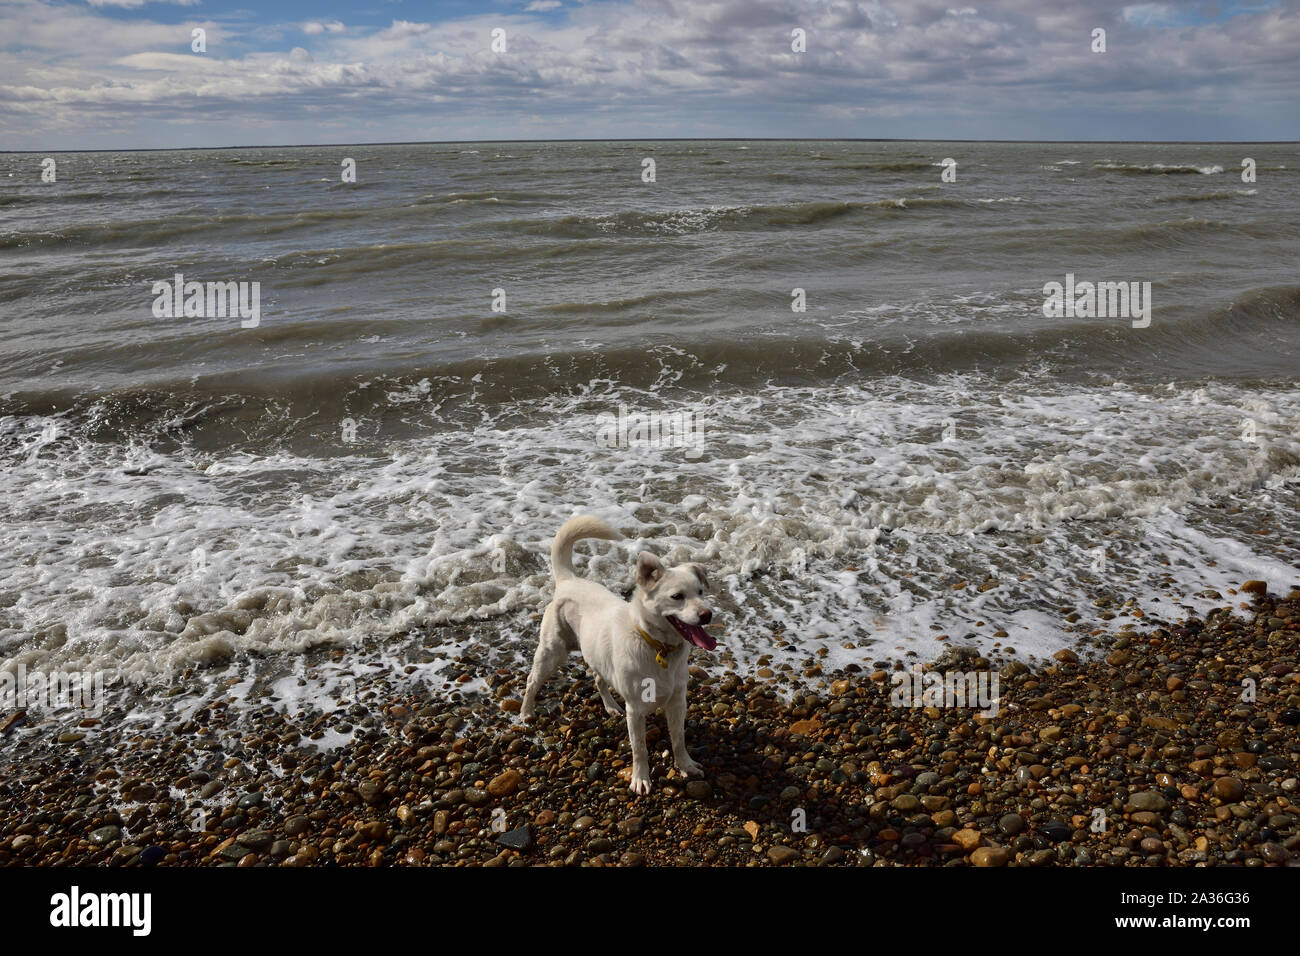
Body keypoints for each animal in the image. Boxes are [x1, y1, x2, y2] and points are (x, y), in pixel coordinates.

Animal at [520, 515, 722, 790]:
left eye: (701, 592)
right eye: (677, 596)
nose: (707, 614)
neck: (657, 646)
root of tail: (569, 580)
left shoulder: (677, 702)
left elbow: (679, 740)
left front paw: (685, 766)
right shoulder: (635, 709)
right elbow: (639, 749)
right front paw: (641, 779)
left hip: (596, 654)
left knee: (597, 678)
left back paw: (611, 706)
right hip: (552, 652)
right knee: (532, 681)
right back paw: (526, 713)